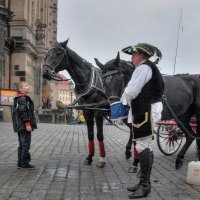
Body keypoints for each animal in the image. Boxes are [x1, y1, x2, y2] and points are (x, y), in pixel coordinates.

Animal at [41, 39, 109, 168]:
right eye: (47, 54)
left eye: (59, 53)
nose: (45, 72)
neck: (89, 82)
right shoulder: (87, 111)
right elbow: (90, 134)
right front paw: (89, 157)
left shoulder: (98, 112)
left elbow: (99, 135)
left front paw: (102, 159)